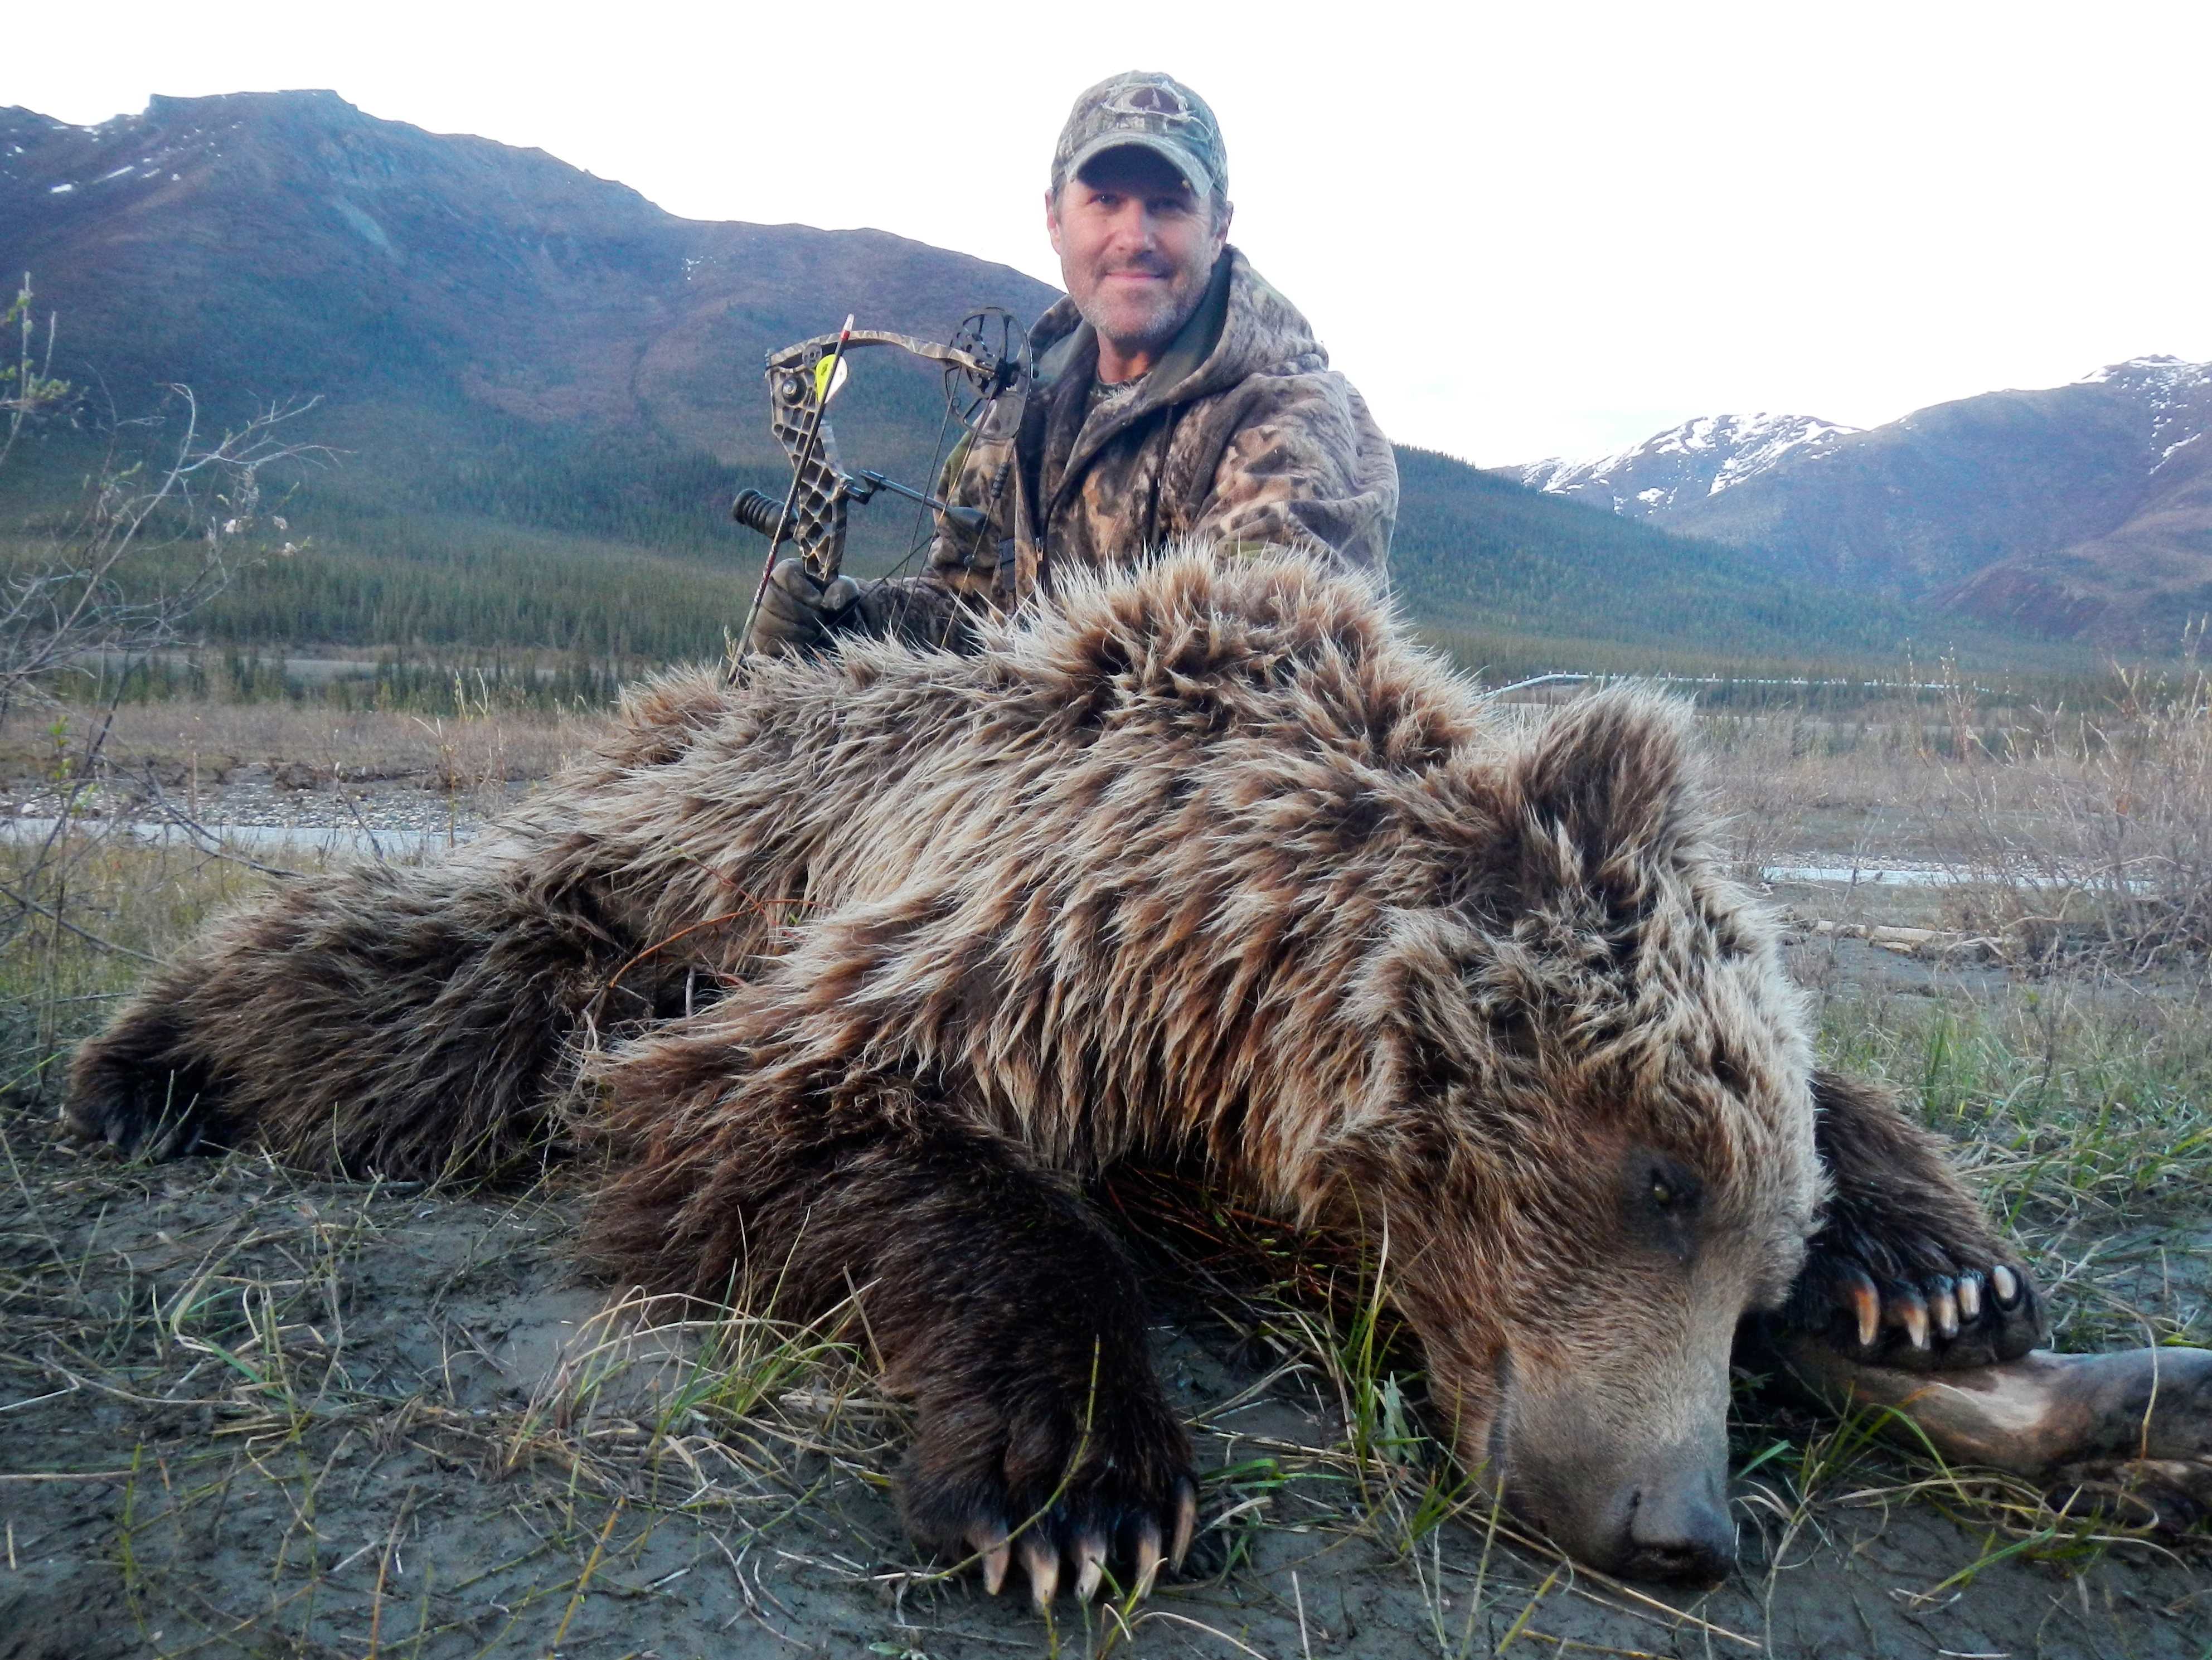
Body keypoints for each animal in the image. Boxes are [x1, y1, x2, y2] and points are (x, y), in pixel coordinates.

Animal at [71, 549, 2177, 1605]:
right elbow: (811, 1111)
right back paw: (147, 1063)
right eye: (1651, 1175)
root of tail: (713, 686)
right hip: (656, 856)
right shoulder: (1039, 932)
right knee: (429, 979)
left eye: (1749, 1254)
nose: (1682, 1527)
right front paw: (1078, 1480)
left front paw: (1927, 1267)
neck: (1248, 1003)